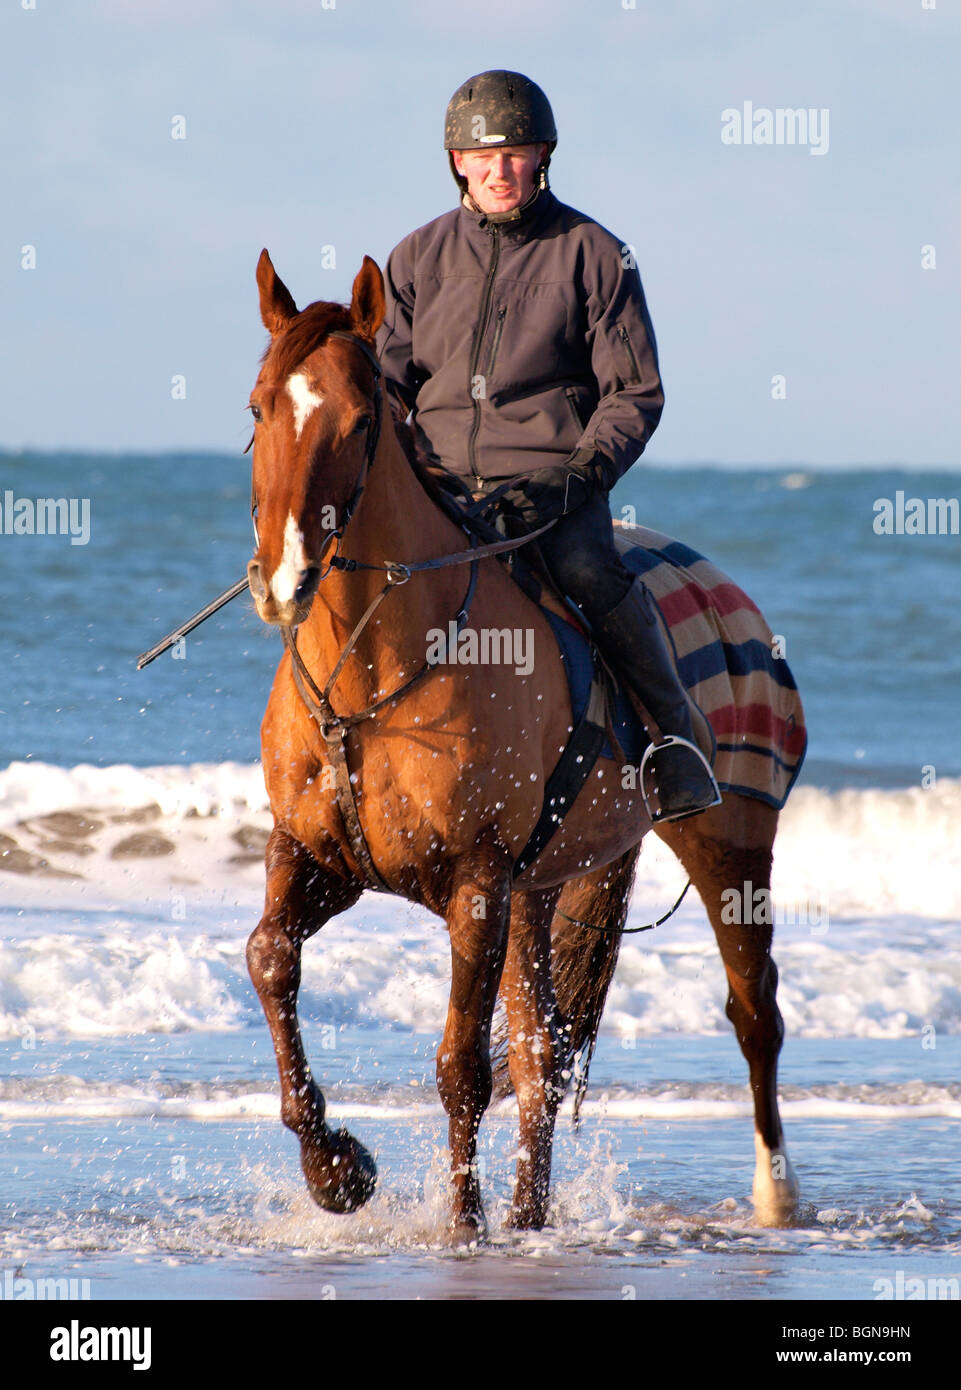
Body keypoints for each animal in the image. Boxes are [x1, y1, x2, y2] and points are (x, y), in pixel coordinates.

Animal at [244, 250, 801, 1239]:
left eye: (358, 422)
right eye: (258, 408)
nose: (284, 578)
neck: (373, 677)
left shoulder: (475, 883)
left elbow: (461, 1063)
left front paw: (459, 1228)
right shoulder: (314, 858)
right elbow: (270, 961)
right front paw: (336, 1169)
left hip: (727, 848)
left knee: (753, 1015)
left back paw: (773, 1192)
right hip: (541, 889)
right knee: (545, 1050)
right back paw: (530, 1215)